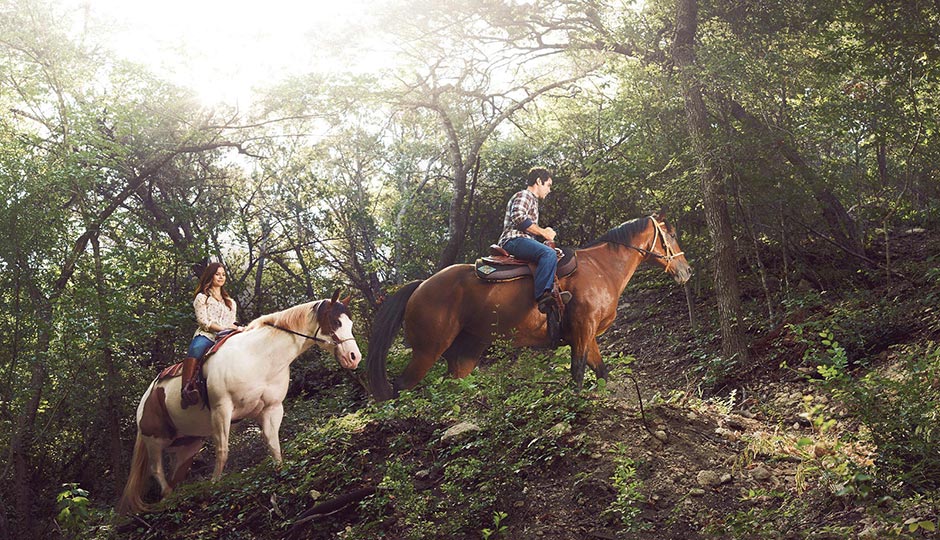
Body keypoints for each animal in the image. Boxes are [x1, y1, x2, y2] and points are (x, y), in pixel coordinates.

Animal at [119, 292, 362, 516]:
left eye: (350, 323)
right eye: (336, 322)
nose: (354, 357)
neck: (259, 357)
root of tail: (145, 398)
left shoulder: (272, 409)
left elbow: (274, 445)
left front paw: (280, 473)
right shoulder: (221, 410)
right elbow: (223, 451)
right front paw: (214, 486)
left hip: (188, 444)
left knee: (175, 473)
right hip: (154, 440)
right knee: (157, 470)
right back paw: (168, 497)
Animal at [366, 215, 692, 400]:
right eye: (671, 235)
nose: (686, 271)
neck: (601, 268)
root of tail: (421, 285)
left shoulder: (586, 333)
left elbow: (600, 371)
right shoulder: (583, 328)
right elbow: (577, 372)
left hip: (466, 352)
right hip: (427, 351)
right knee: (402, 387)